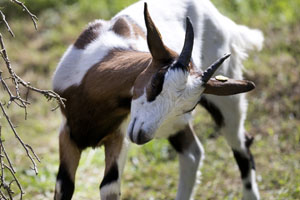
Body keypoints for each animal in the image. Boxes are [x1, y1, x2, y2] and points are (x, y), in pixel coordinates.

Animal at [52, 0, 264, 199]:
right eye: (156, 81)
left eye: (189, 107)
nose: (142, 135)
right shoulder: (67, 132)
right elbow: (64, 186)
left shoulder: (119, 136)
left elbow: (109, 187)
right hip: (173, 126)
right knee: (192, 153)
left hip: (226, 104)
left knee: (240, 145)